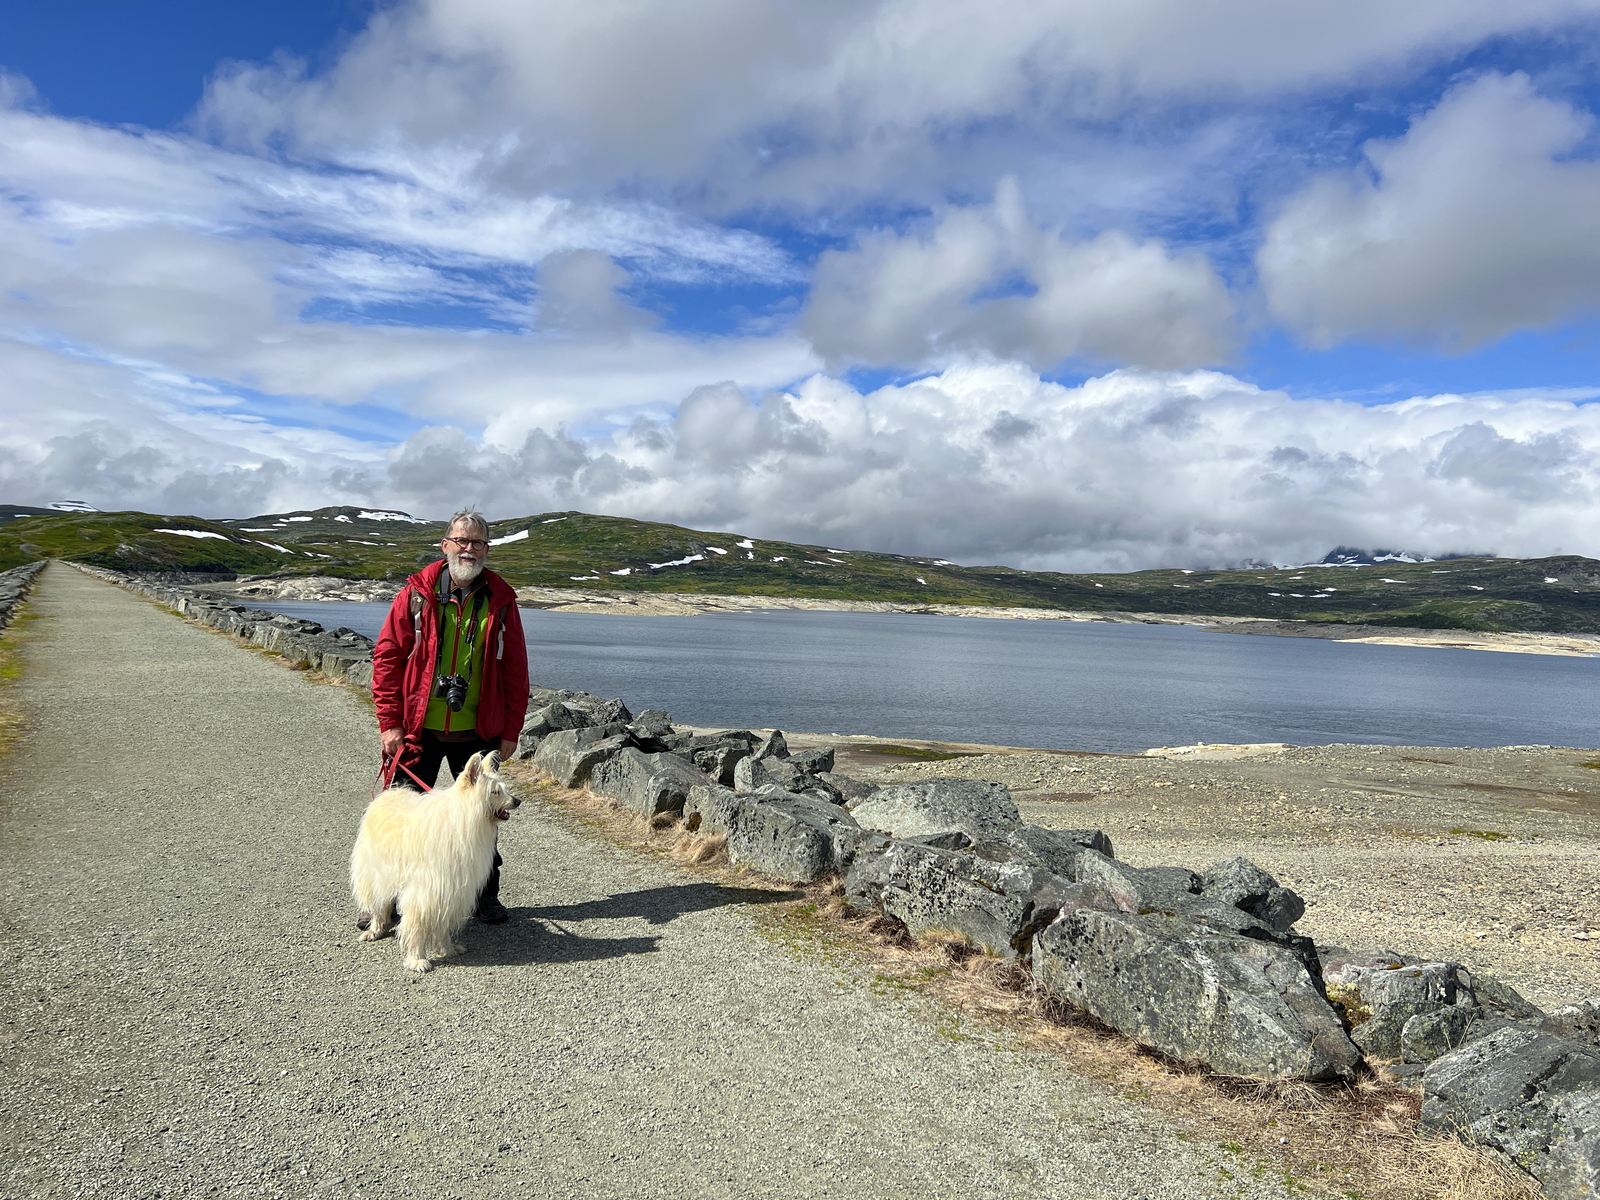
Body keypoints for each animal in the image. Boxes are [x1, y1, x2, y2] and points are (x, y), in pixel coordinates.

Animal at [350, 750, 519, 972]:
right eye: (495, 792)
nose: (517, 801)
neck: (463, 820)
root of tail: (390, 792)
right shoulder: (425, 892)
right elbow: (416, 927)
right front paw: (416, 959)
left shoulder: (450, 890)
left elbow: (442, 925)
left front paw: (446, 949)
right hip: (376, 873)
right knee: (379, 904)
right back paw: (375, 929)